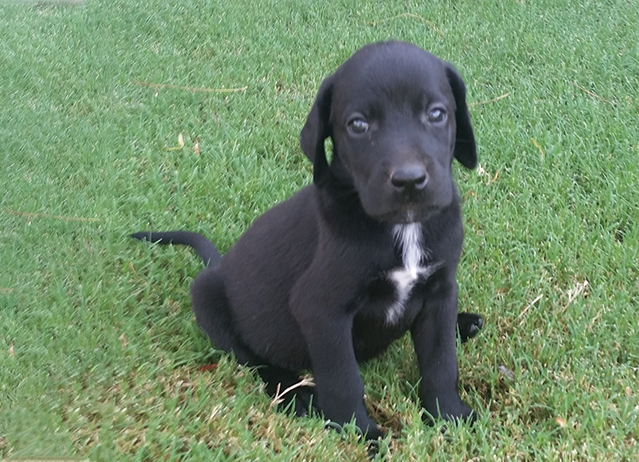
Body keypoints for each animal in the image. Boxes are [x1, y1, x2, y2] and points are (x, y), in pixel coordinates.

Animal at [136, 40, 484, 440]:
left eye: (437, 114)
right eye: (358, 125)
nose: (409, 181)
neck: (402, 228)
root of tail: (218, 265)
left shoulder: (440, 290)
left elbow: (441, 362)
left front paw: (450, 415)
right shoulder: (321, 310)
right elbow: (343, 379)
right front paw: (361, 434)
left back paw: (464, 323)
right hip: (209, 300)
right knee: (253, 361)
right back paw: (295, 393)